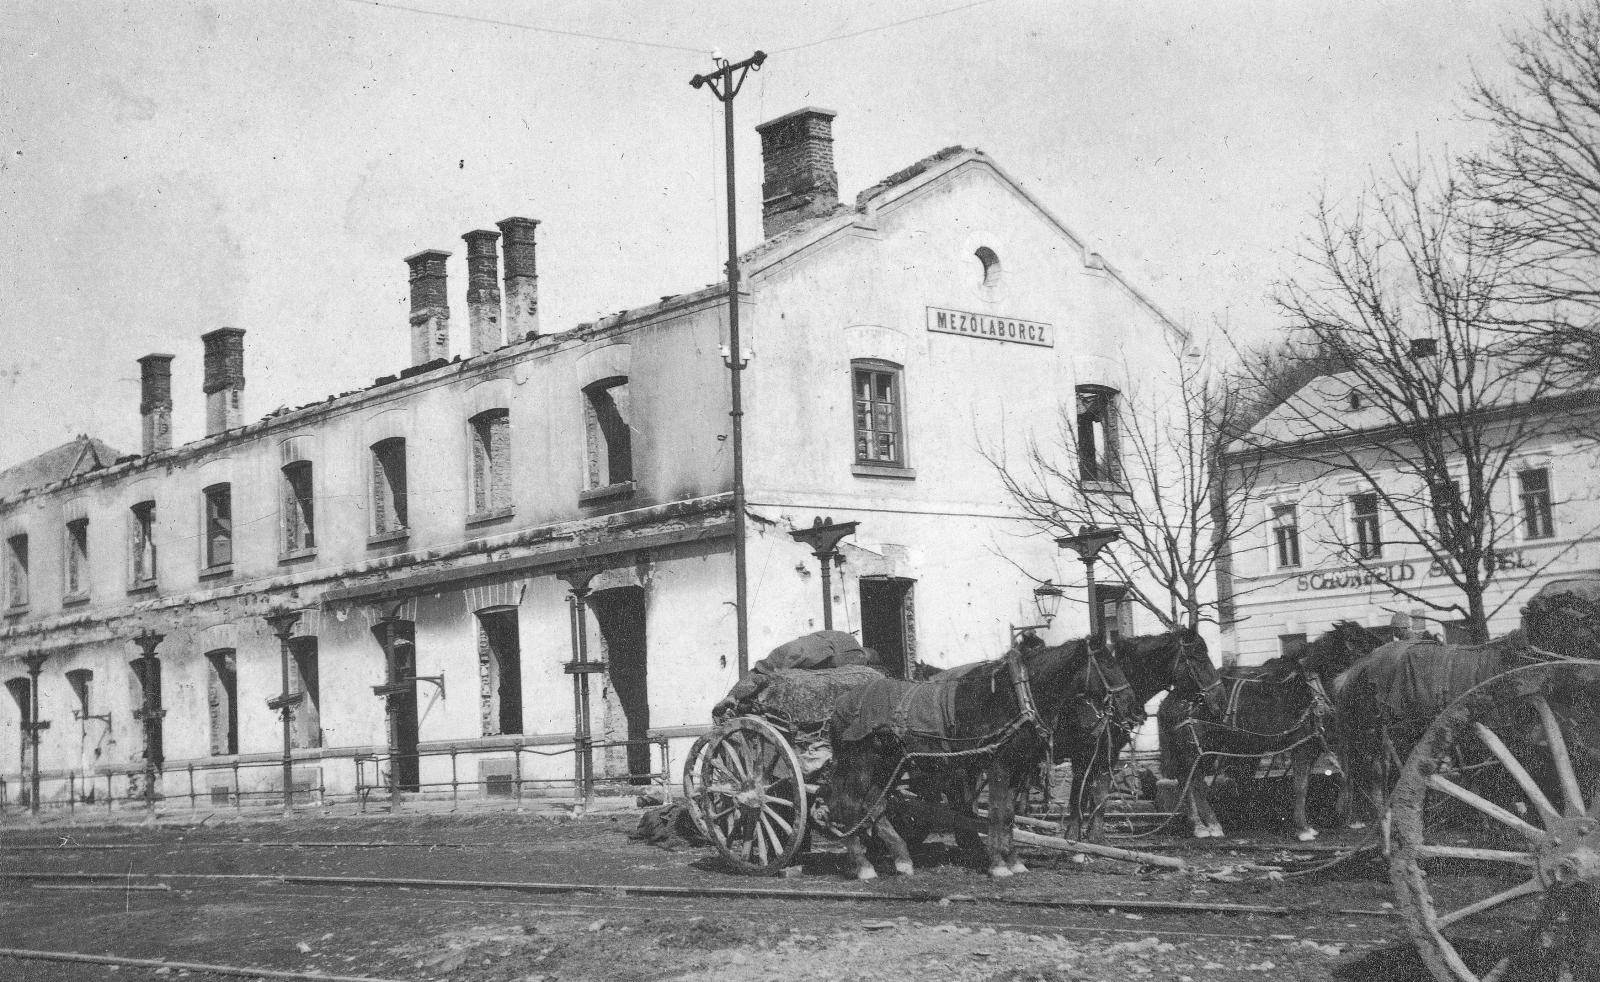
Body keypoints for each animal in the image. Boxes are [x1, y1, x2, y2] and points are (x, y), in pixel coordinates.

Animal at [825, 642, 1139, 882]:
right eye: (1107, 665)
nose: (1131, 705)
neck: (1014, 697)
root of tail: (839, 705)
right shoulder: (998, 764)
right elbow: (997, 813)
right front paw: (998, 864)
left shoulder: (1019, 767)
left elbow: (1009, 814)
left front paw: (1014, 861)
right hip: (861, 763)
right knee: (850, 805)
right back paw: (863, 866)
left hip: (889, 765)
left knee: (874, 805)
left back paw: (902, 859)